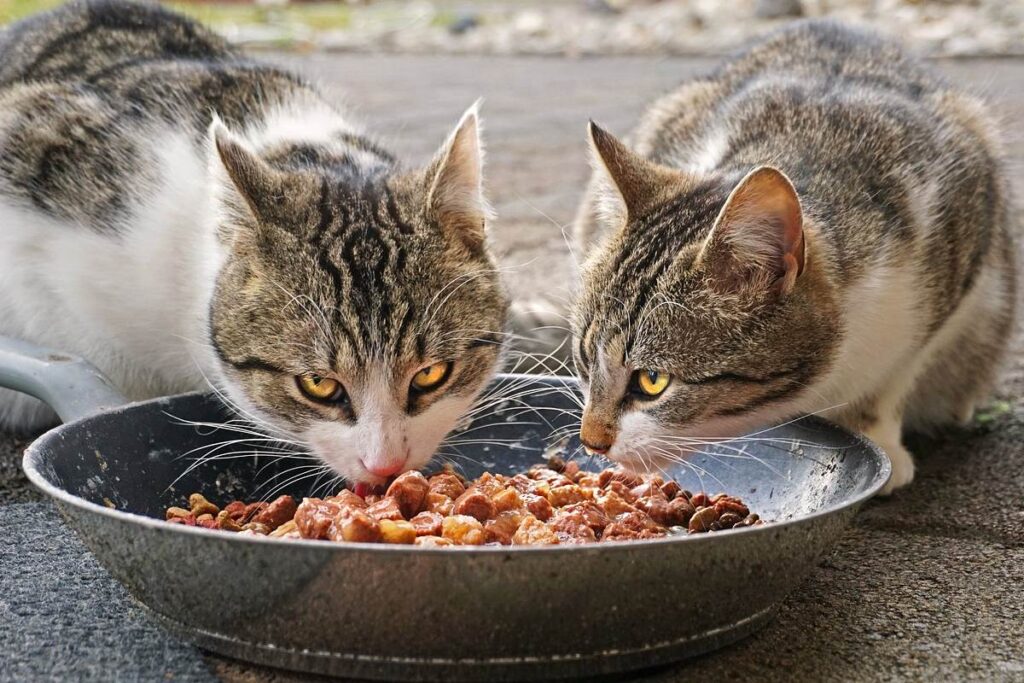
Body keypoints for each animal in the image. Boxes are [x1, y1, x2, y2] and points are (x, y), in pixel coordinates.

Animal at [569, 20, 1015, 491]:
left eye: (653, 381)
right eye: (584, 359)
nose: (591, 442)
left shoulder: (961, 234)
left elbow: (895, 374)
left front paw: (877, 435)